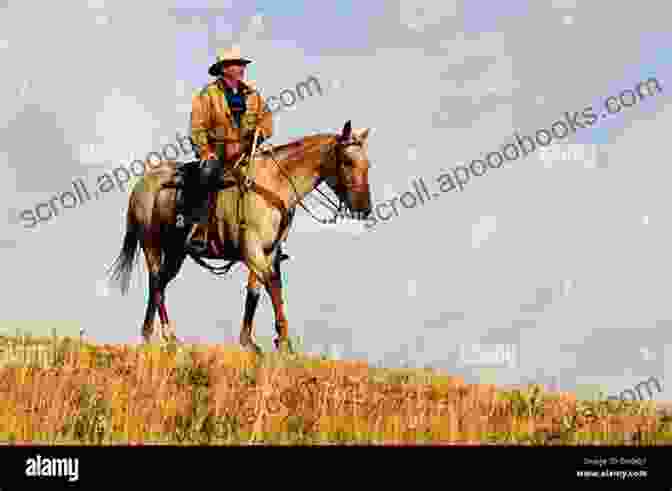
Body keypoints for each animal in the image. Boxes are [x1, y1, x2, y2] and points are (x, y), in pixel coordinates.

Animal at [108, 121, 376, 356]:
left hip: (176, 252)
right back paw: (167, 335)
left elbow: (256, 291)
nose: (364, 207)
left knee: (160, 284)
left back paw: (152, 335)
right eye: (347, 161)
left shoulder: (268, 252)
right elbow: (272, 286)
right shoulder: (252, 249)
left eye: (368, 164)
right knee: (156, 282)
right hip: (151, 245)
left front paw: (249, 342)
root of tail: (142, 184)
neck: (275, 184)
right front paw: (284, 341)